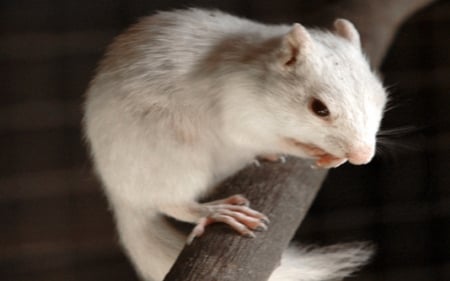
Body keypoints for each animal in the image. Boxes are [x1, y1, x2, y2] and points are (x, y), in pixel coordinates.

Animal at [83, 7, 386, 280]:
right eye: (319, 108)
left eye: (379, 96)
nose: (362, 156)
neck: (261, 75)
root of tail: (120, 197)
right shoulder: (238, 110)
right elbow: (263, 138)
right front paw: (316, 151)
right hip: (173, 157)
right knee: (172, 202)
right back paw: (215, 211)